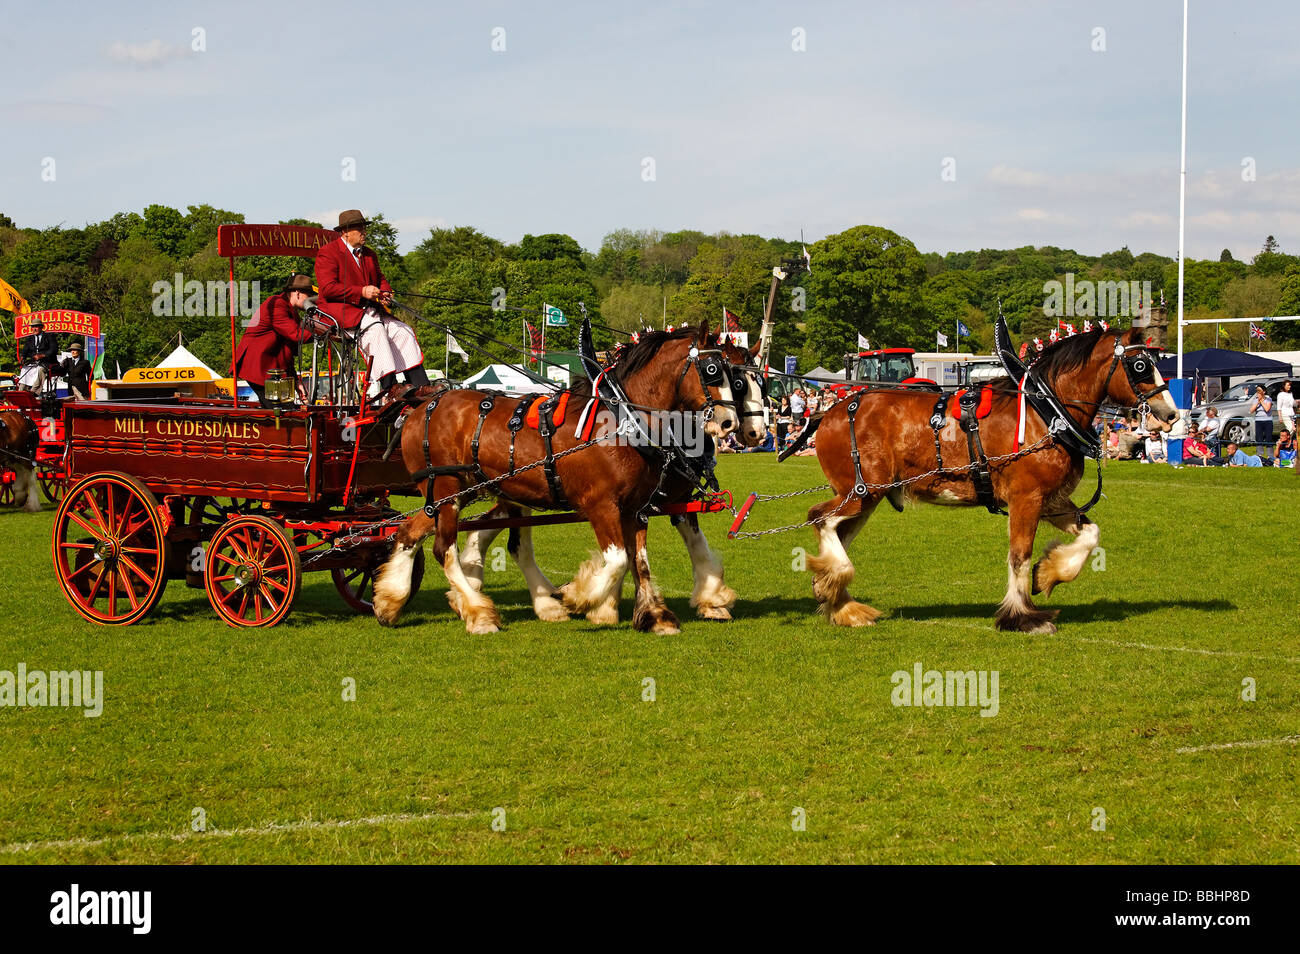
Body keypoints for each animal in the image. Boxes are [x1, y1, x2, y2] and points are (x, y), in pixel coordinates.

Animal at [371, 327, 748, 634]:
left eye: (735, 376)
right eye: (713, 371)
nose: (730, 424)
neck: (622, 420)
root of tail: (421, 404)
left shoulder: (637, 508)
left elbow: (639, 561)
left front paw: (654, 615)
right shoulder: (602, 506)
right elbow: (617, 560)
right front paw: (576, 597)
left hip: (454, 494)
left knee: (408, 532)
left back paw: (390, 601)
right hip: (446, 492)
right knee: (442, 548)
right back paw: (479, 613)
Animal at [806, 328, 1185, 634]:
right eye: (1141, 366)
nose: (1171, 414)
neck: (1046, 414)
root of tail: (831, 411)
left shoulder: (1051, 500)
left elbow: (1090, 534)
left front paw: (1049, 573)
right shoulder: (1026, 498)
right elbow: (1019, 554)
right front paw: (1021, 616)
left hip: (867, 498)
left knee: (836, 532)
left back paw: (840, 602)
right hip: (860, 492)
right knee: (819, 518)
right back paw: (837, 587)